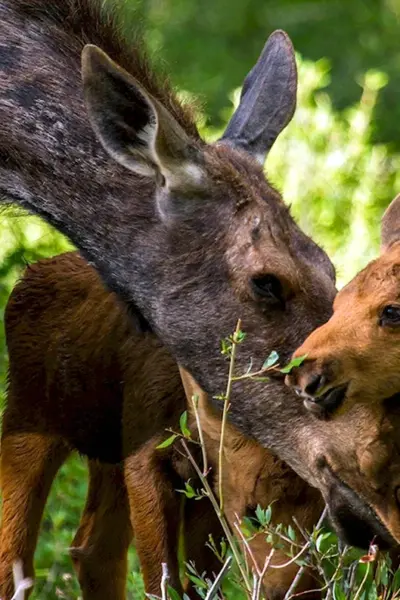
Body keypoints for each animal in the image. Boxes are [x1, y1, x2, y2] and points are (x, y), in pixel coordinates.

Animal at [0, 251, 324, 596]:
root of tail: (29, 273)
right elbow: (162, 580)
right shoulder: (147, 454)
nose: (296, 592)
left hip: (110, 451)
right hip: (27, 418)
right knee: (15, 557)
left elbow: (200, 579)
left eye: (321, 518)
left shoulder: (205, 479)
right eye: (251, 515)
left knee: (93, 549)